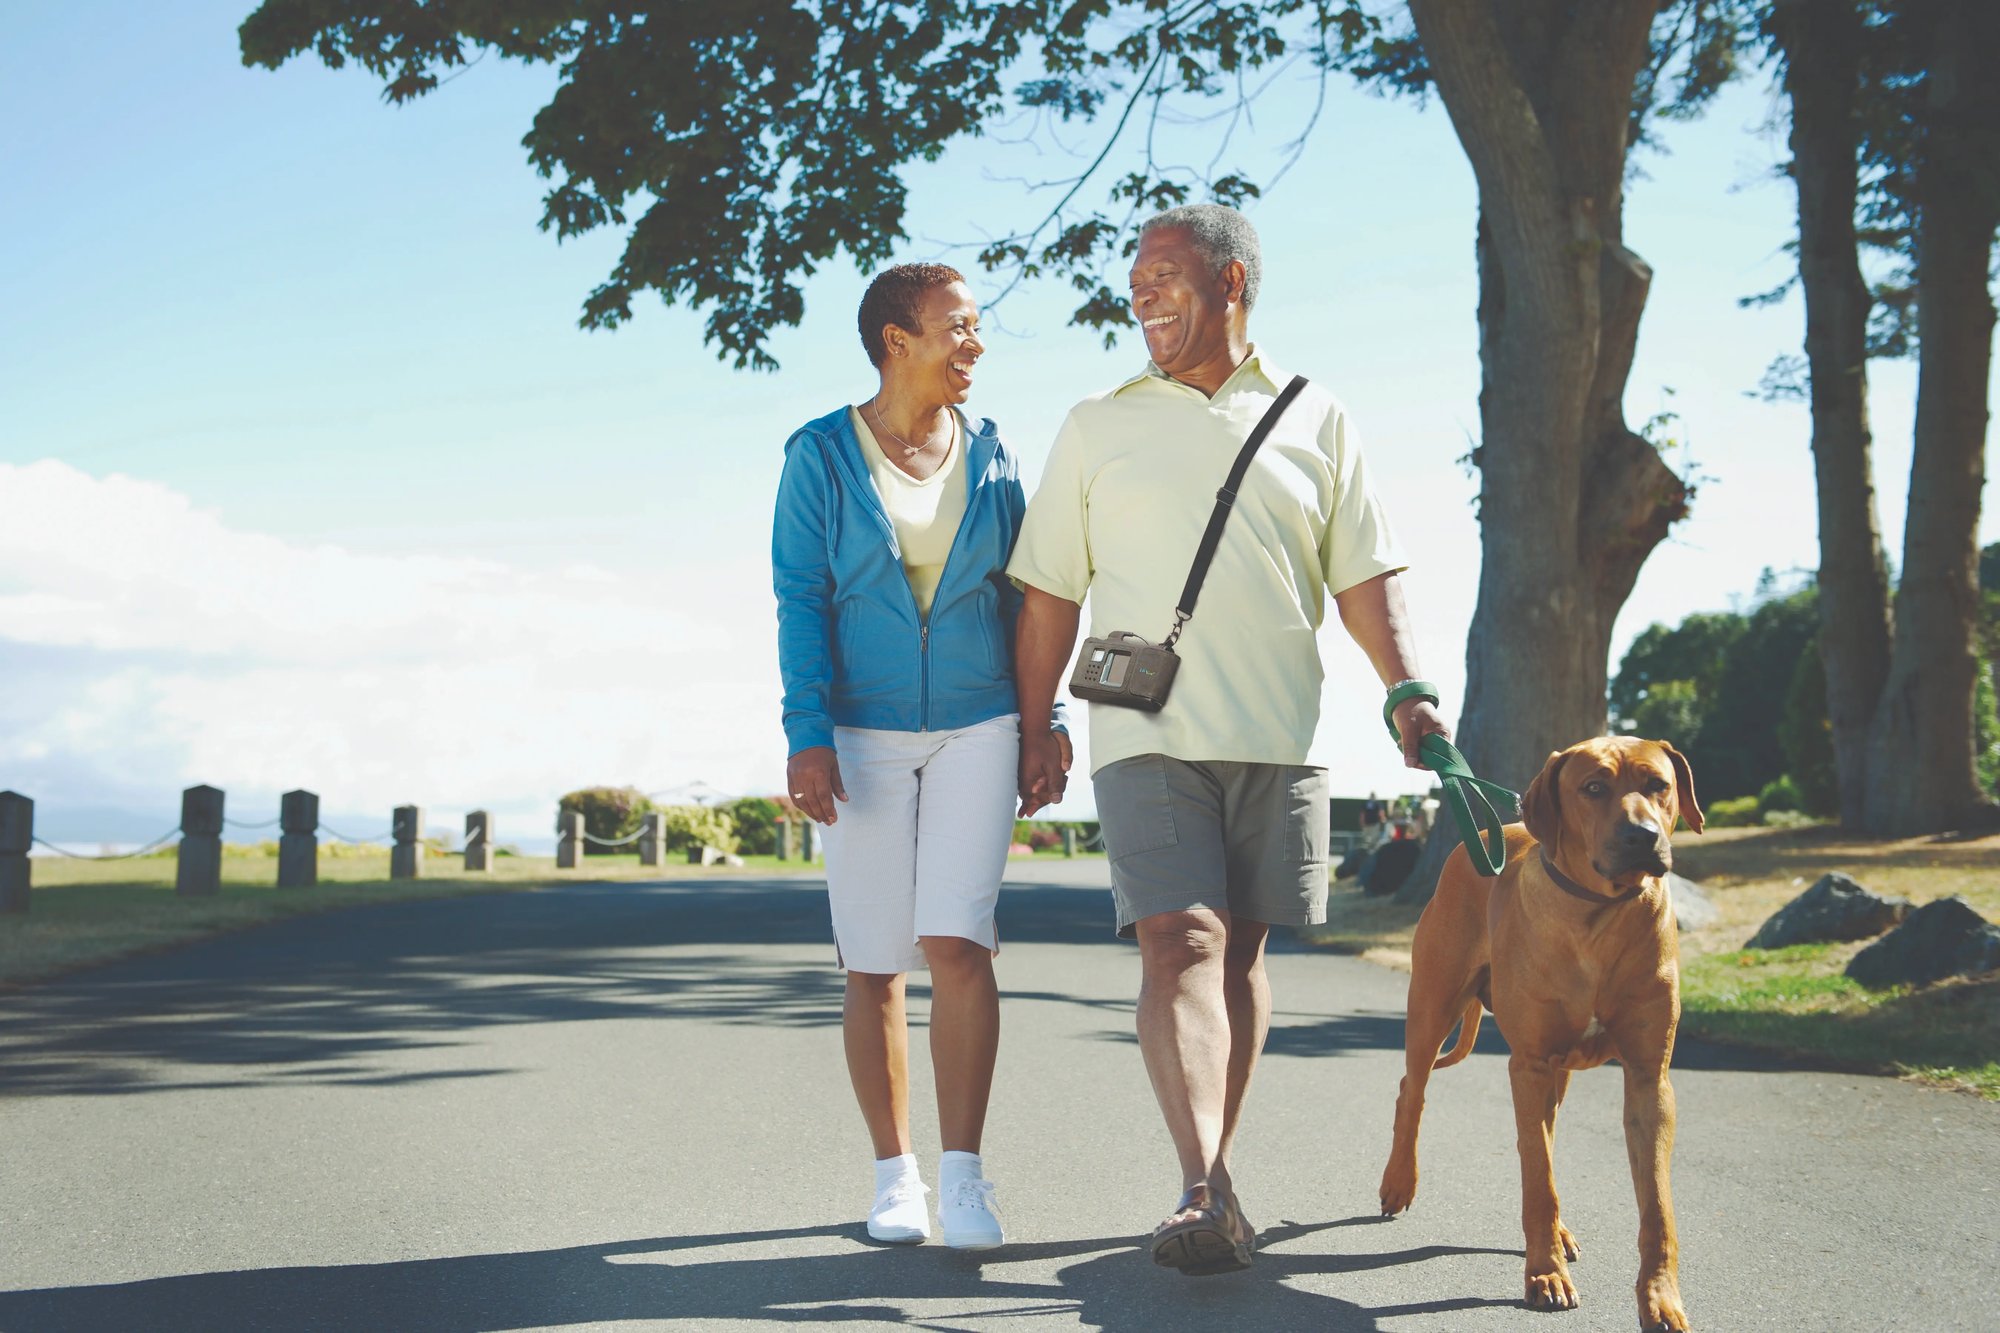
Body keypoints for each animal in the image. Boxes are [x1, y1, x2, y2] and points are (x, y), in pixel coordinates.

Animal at [1384, 732, 1696, 1320]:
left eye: (1658, 785)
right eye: (1593, 788)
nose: (1643, 836)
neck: (1600, 913)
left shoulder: (1650, 1078)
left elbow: (1658, 1207)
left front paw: (1660, 1298)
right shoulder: (1527, 1064)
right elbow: (1539, 1181)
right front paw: (1544, 1275)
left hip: (1560, 1069)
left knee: (1543, 1138)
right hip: (1434, 1004)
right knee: (1413, 1090)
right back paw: (1398, 1182)